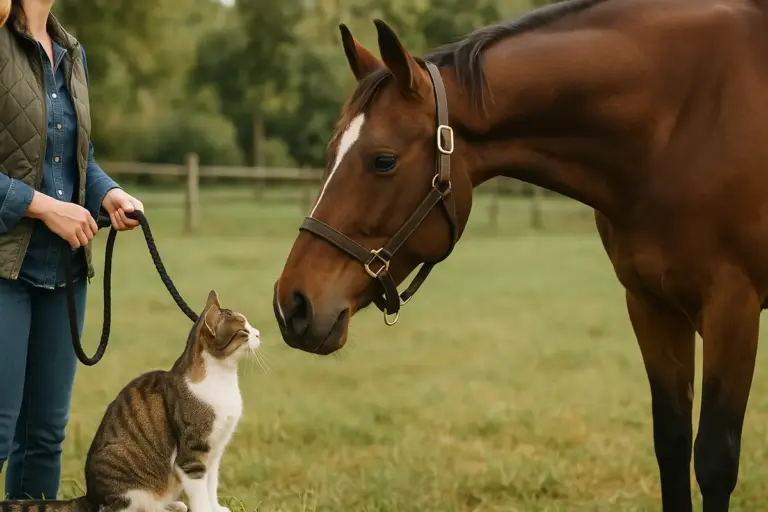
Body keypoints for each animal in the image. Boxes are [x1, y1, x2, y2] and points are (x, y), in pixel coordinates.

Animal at [273, 0, 768, 509]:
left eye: (383, 160)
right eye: (331, 150)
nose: (293, 304)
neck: (683, 118)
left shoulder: (732, 306)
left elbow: (714, 459)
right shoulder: (650, 304)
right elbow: (671, 443)